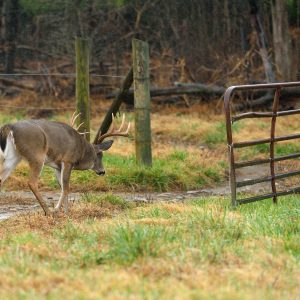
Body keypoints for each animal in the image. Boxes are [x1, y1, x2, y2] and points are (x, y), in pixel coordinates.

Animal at [0, 113, 130, 214]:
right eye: (100, 154)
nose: (102, 171)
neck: (81, 150)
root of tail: (10, 126)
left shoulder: (57, 166)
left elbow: (63, 187)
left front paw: (67, 211)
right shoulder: (68, 160)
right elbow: (66, 187)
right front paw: (59, 209)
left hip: (13, 156)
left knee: (1, 178)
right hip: (36, 155)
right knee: (32, 182)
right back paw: (48, 211)